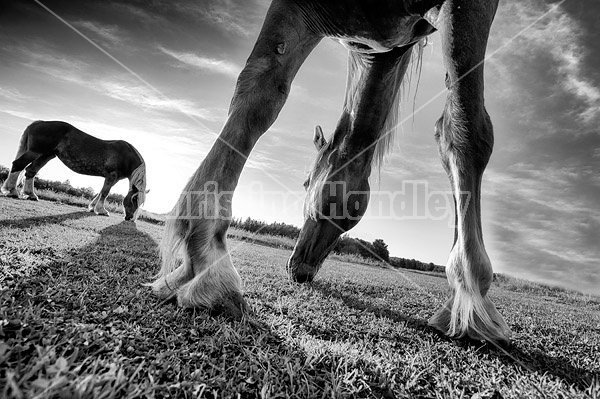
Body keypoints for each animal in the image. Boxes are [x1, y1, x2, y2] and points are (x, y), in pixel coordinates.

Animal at [1, 122, 147, 222]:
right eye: (134, 199)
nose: (130, 218)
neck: (125, 155)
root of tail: (38, 123)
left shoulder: (112, 178)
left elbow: (101, 192)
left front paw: (92, 207)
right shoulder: (112, 176)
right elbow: (105, 193)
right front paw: (101, 210)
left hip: (46, 155)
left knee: (31, 171)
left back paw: (31, 195)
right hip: (35, 152)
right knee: (18, 165)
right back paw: (12, 191)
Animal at [148, 0, 508, 346]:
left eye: (306, 181)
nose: (297, 270)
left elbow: (466, 129)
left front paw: (471, 292)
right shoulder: (298, 9)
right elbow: (261, 92)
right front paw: (206, 257)